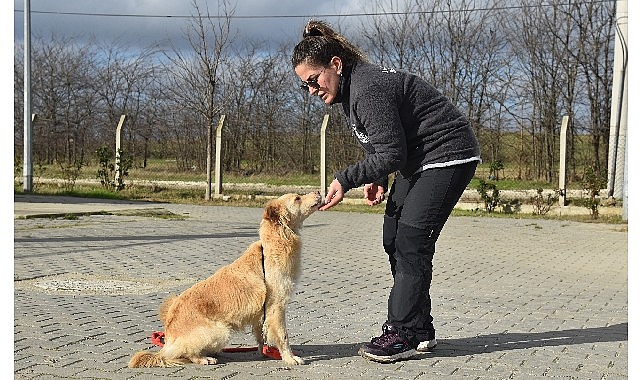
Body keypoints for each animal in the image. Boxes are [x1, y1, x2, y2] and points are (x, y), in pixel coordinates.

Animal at [128, 191, 322, 366]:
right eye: (297, 198)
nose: (319, 192)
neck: (272, 247)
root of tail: (168, 339)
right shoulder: (276, 307)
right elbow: (283, 336)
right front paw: (290, 358)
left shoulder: (262, 313)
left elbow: (262, 336)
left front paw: (267, 352)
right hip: (221, 330)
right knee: (185, 353)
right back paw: (203, 358)